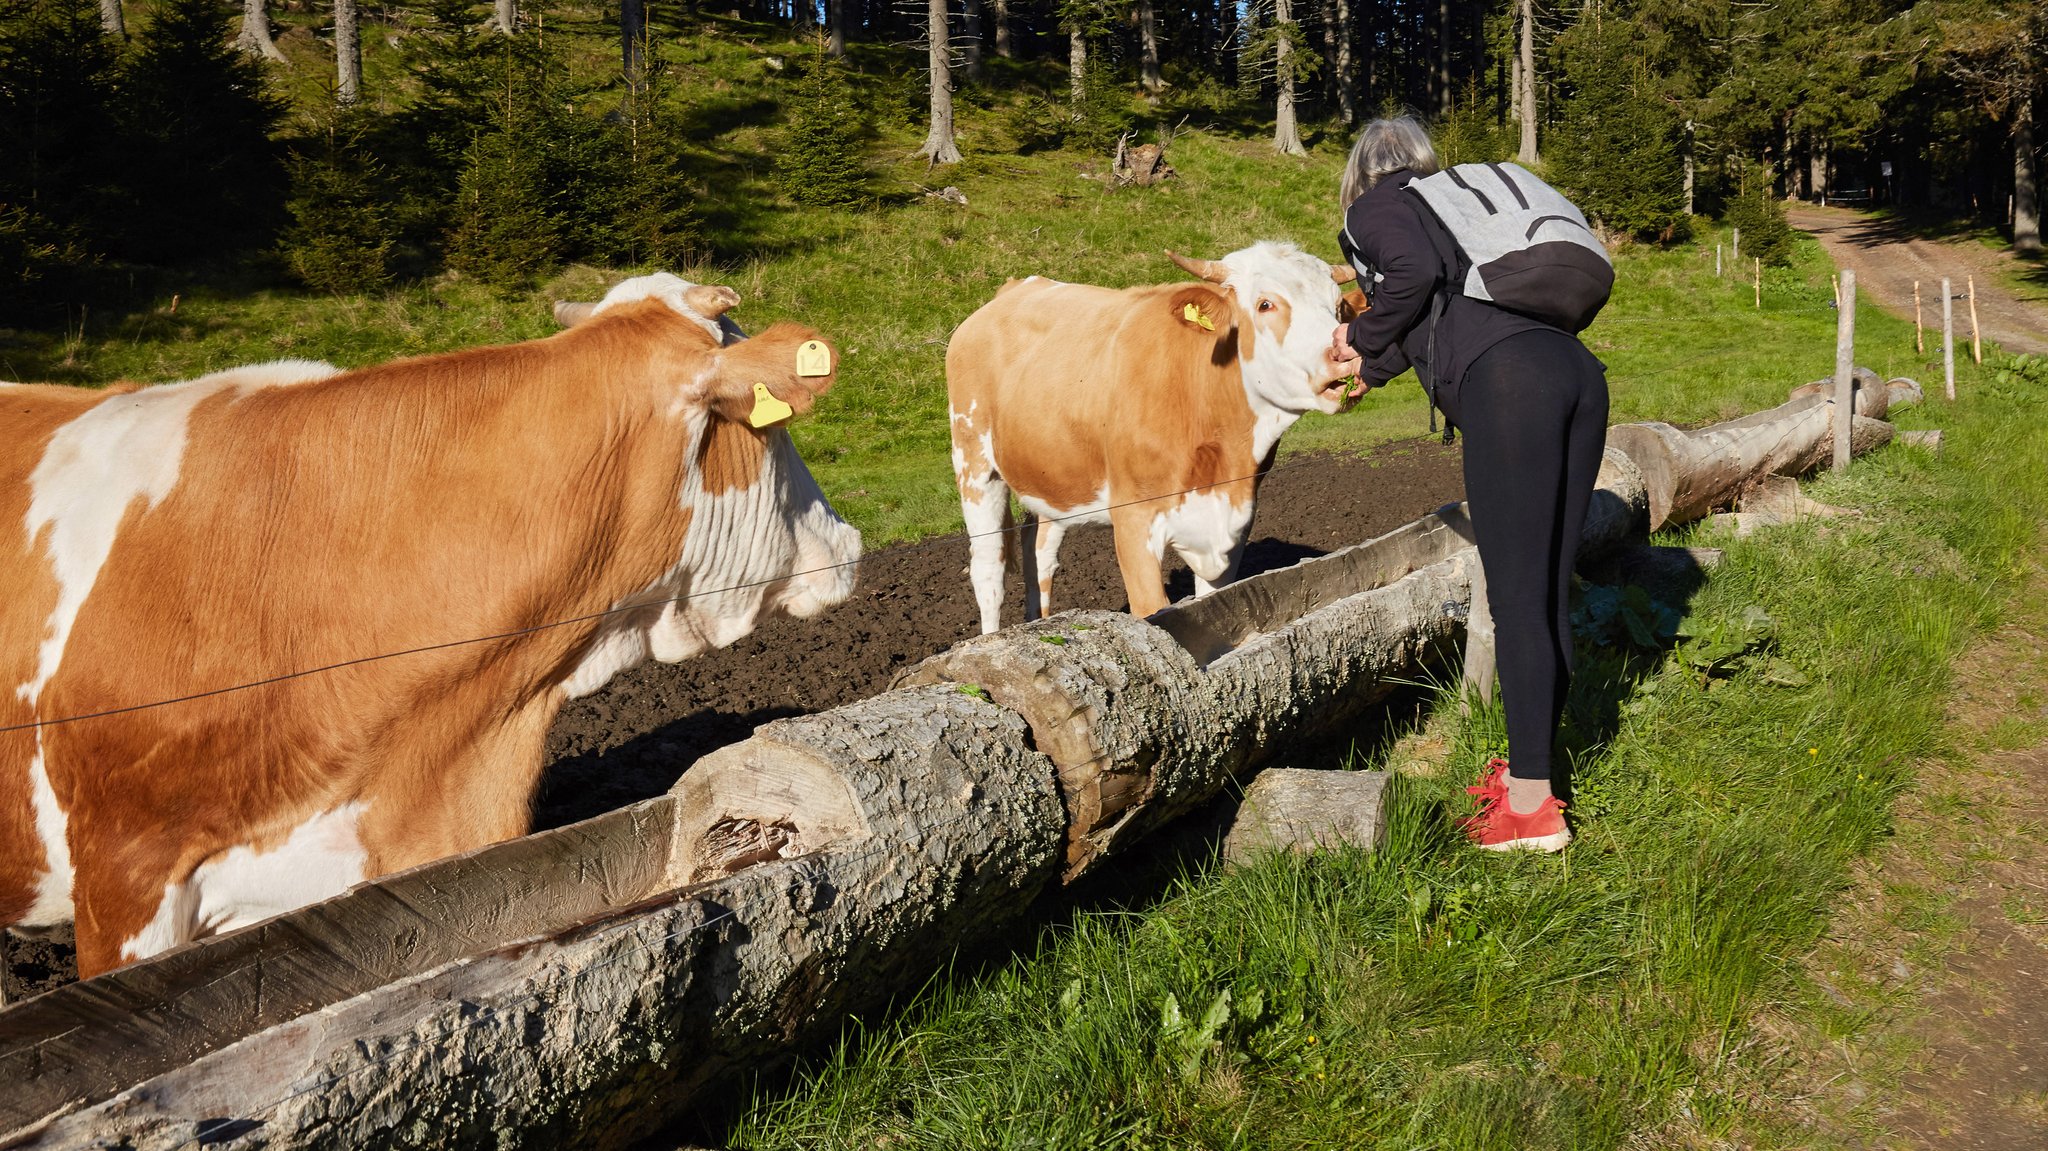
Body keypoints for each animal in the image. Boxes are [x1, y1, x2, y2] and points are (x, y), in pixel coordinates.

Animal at [942, 238, 1359, 630]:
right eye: (1265, 304)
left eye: (1339, 306)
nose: (1345, 356)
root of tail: (1014, 289)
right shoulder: (1133, 520)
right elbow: (1150, 609)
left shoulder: (1234, 522)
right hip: (974, 460)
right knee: (989, 571)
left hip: (1050, 472)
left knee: (1039, 551)